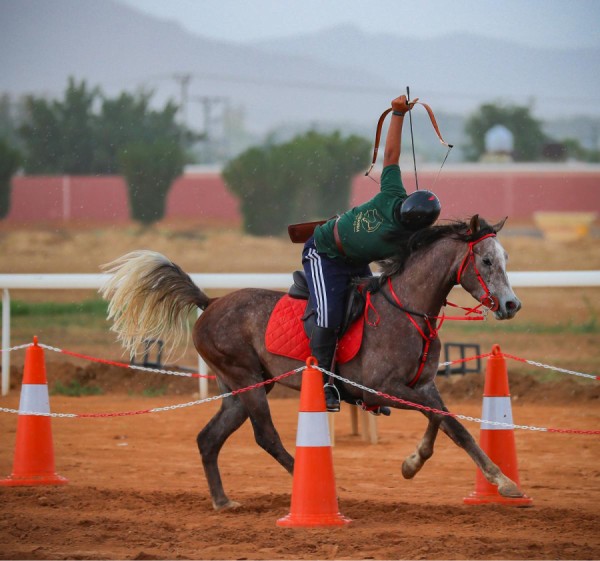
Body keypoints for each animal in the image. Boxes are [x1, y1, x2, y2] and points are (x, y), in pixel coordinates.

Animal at [101, 213, 524, 508]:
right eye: (487, 261)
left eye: (505, 257)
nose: (511, 305)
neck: (407, 308)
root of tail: (211, 302)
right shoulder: (382, 388)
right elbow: (452, 424)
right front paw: (501, 481)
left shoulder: (421, 385)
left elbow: (446, 424)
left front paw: (416, 463)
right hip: (247, 381)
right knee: (266, 436)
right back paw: (315, 487)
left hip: (240, 389)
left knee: (209, 438)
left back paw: (222, 501)